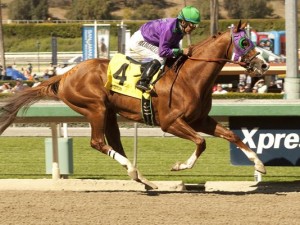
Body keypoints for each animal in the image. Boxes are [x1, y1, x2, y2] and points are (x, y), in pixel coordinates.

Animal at [0, 22, 268, 189]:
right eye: (245, 42)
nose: (264, 65)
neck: (190, 77)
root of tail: (65, 74)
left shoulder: (200, 120)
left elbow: (232, 135)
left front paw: (259, 165)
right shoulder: (170, 122)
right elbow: (201, 142)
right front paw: (180, 166)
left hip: (108, 113)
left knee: (114, 143)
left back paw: (141, 178)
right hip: (95, 108)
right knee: (98, 143)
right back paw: (135, 173)